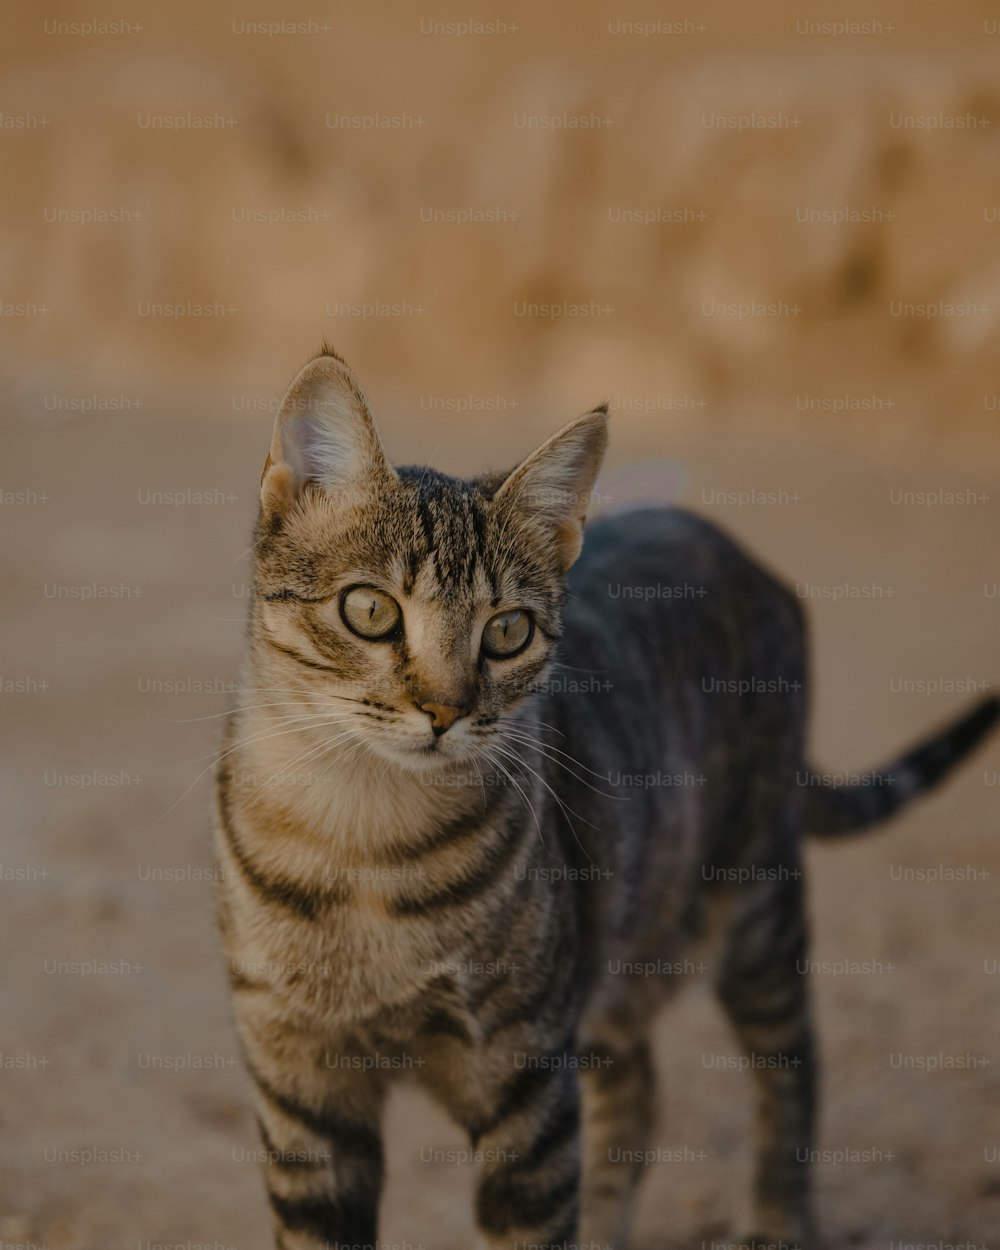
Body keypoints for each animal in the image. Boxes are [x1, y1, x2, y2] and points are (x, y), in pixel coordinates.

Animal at [212, 345, 1000, 1250]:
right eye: (370, 609)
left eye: (507, 631)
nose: (446, 710)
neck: (362, 842)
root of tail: (731, 543)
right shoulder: (302, 1093)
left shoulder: (525, 1085)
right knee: (640, 1086)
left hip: (754, 911)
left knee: (792, 1065)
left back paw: (777, 1217)